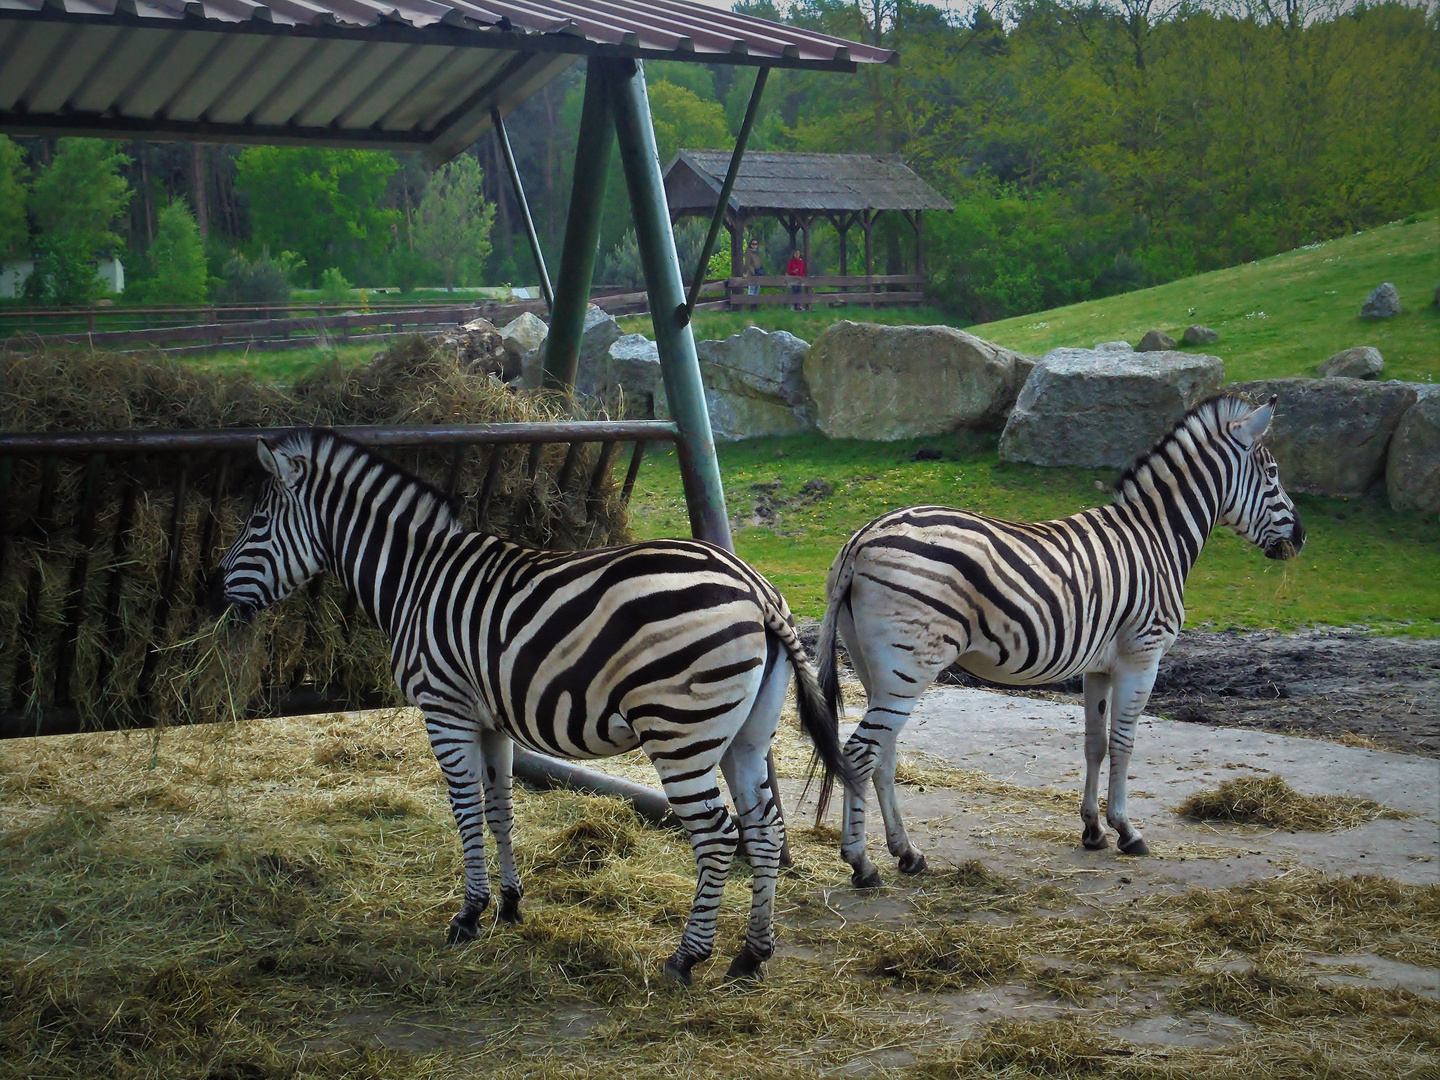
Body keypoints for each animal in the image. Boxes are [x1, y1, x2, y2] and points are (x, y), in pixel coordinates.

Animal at [213, 426, 852, 984]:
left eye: (258, 522)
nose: (218, 592)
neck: (417, 579)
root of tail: (756, 590)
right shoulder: (491, 719)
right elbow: (500, 810)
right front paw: (510, 905)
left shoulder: (444, 709)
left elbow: (465, 811)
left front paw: (468, 915)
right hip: (746, 735)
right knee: (764, 829)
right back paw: (751, 955)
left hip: (679, 732)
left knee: (718, 834)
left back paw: (686, 958)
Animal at [812, 394, 1307, 881]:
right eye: (1273, 474)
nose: (1301, 538)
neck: (1157, 538)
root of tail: (861, 539)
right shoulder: (1142, 655)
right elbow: (1124, 744)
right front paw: (1126, 831)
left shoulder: (1099, 666)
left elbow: (1096, 744)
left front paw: (1093, 830)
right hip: (909, 667)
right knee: (859, 753)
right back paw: (861, 863)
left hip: (876, 666)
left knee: (883, 756)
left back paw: (907, 853)